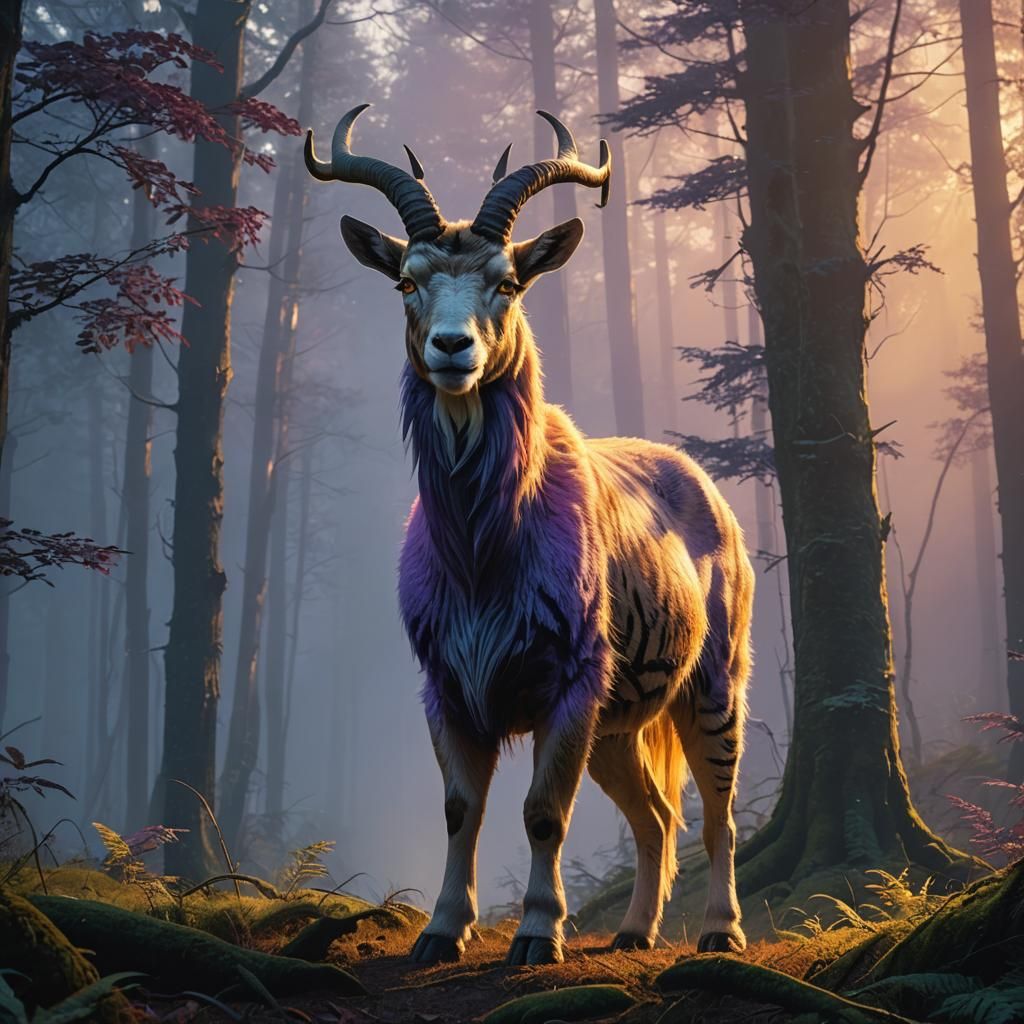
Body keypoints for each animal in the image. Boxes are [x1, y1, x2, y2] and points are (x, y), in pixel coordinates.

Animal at [306, 105, 754, 965]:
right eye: (407, 281)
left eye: (507, 282)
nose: (453, 348)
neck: (484, 561)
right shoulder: (446, 681)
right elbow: (460, 809)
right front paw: (441, 931)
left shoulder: (571, 674)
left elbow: (544, 812)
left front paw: (538, 935)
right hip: (618, 718)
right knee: (656, 813)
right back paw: (633, 932)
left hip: (717, 674)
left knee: (717, 809)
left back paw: (720, 930)